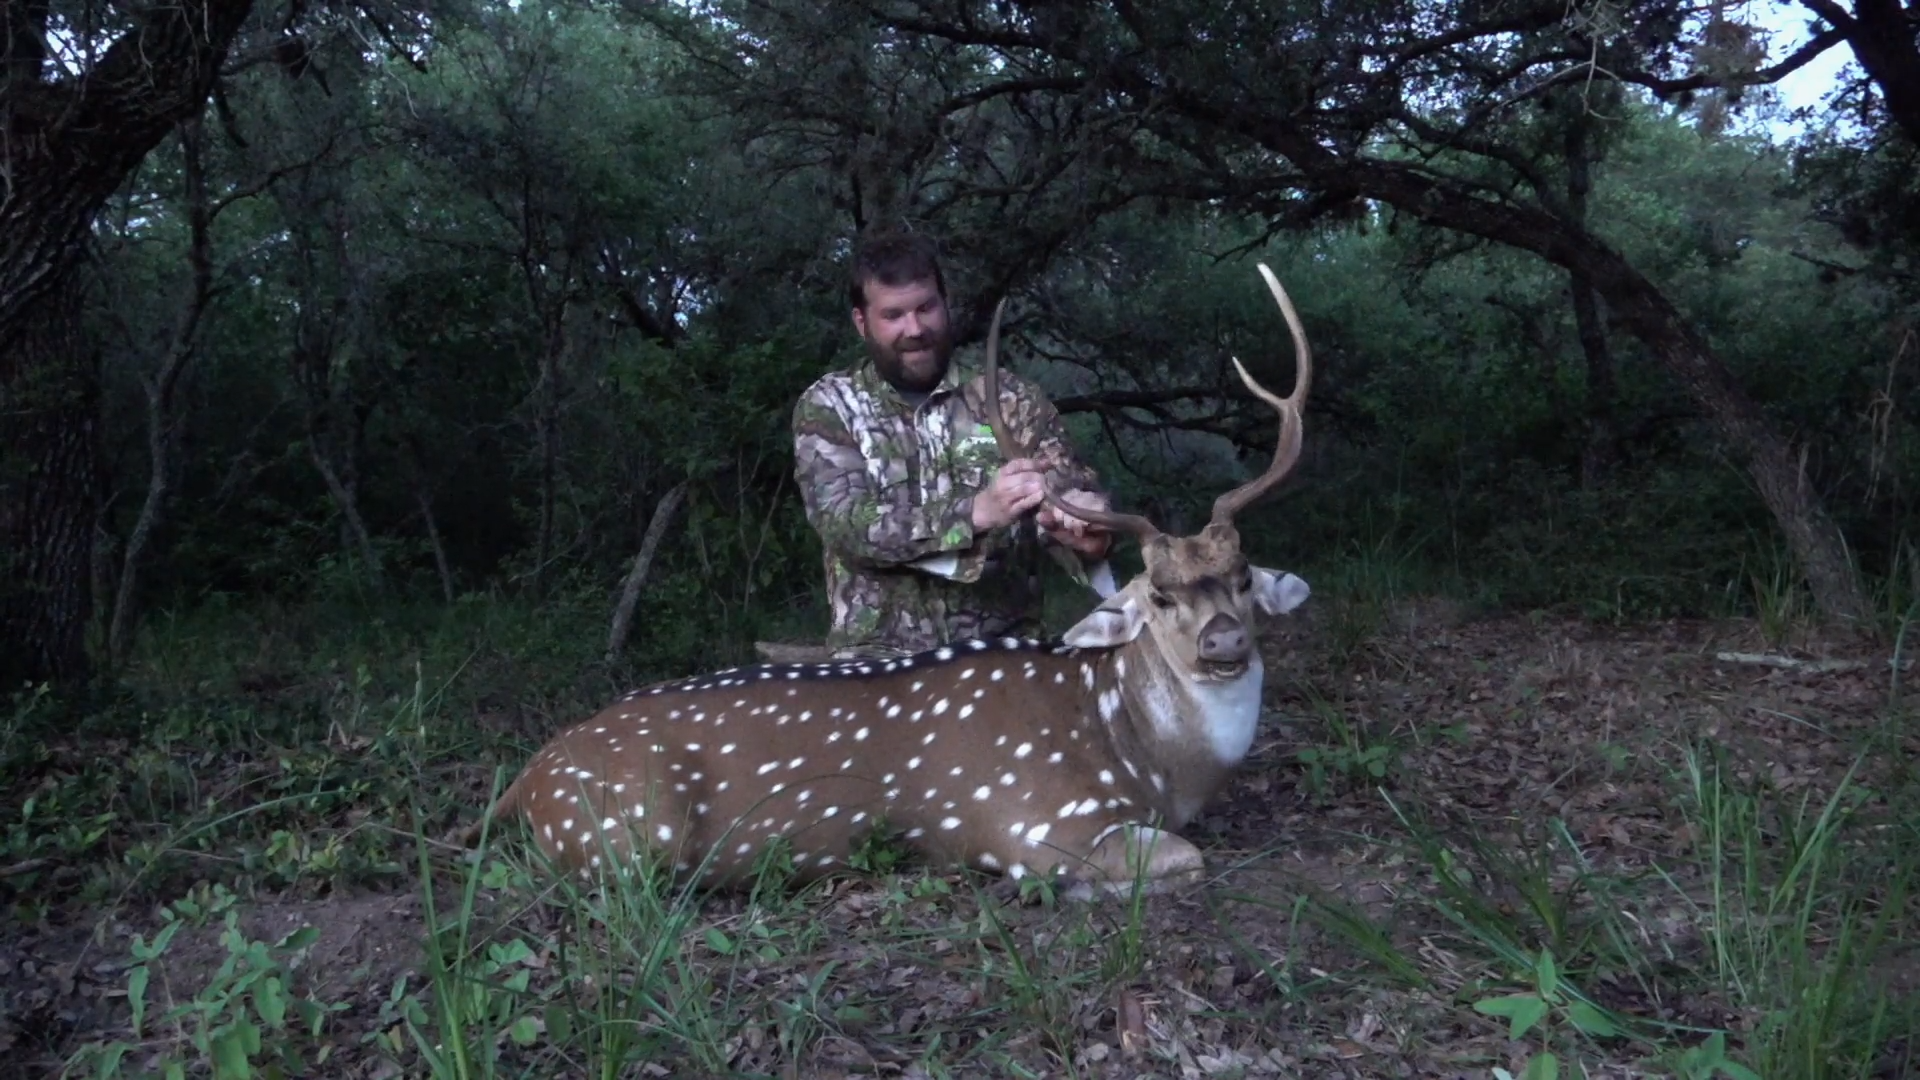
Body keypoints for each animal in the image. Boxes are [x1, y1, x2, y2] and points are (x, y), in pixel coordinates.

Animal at [462, 263, 1314, 898]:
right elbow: (1181, 859)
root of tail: (525, 779)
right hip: (625, 832)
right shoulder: (1038, 819)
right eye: (1160, 595)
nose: (1224, 642)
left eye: (1241, 575)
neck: (1150, 765)